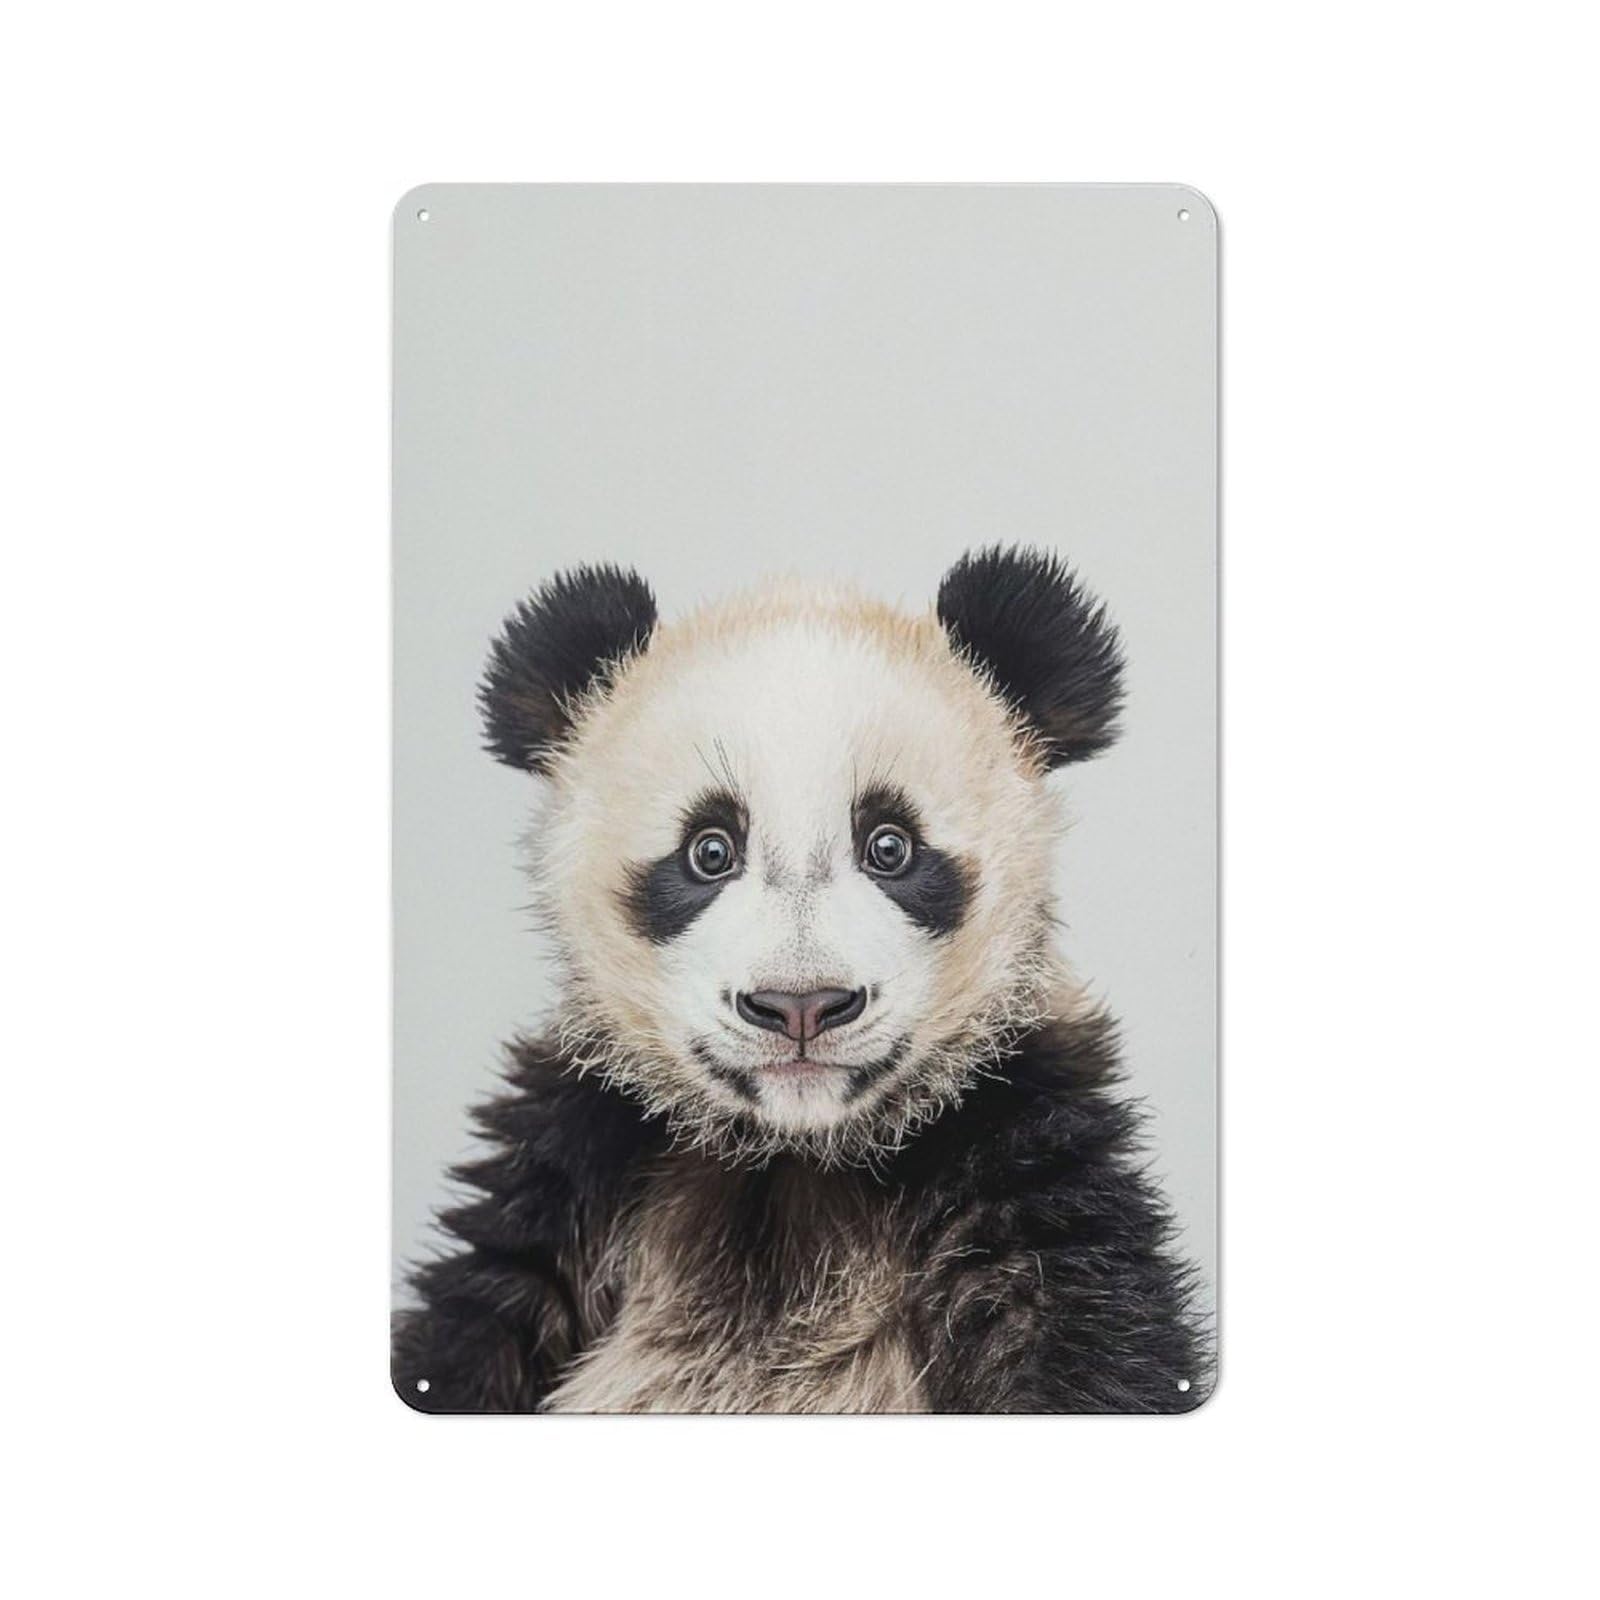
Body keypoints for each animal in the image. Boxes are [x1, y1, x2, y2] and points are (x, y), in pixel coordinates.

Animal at [393, 545, 1209, 1413]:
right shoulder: (583, 1152)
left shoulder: (1020, 1131)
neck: (793, 1154)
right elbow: (483, 1312)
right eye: (709, 850)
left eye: (891, 845)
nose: (801, 1006)